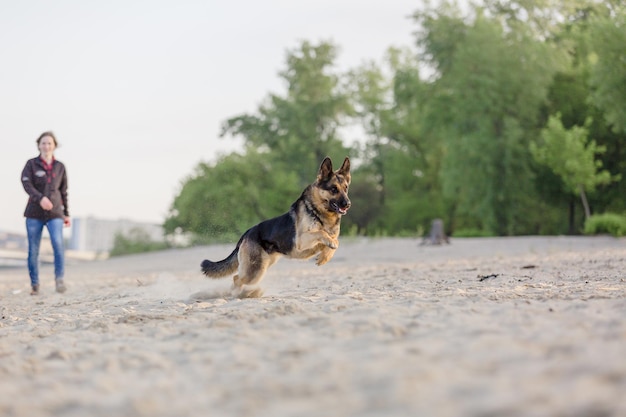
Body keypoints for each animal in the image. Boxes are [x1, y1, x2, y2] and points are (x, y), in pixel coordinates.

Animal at [200, 155, 348, 296]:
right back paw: (241, 294)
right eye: (333, 189)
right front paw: (327, 247)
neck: (319, 211)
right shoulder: (302, 241)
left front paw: (324, 257)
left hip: (261, 267)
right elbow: (322, 234)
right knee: (236, 279)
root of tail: (247, 233)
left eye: (346, 188)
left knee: (237, 278)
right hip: (255, 270)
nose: (348, 204)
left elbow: (335, 241)